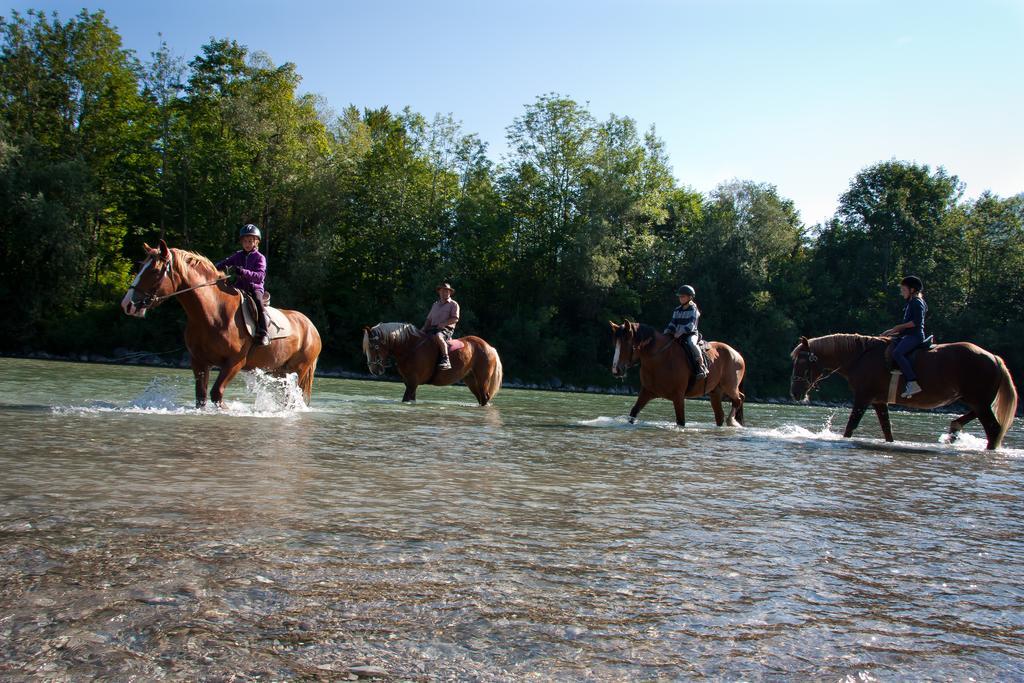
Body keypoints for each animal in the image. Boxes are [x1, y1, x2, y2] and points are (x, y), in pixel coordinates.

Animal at [119, 241, 321, 405]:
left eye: (154, 271)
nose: (127, 304)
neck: (214, 313)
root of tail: (311, 327)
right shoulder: (199, 361)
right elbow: (201, 396)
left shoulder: (233, 363)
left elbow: (216, 394)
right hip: (279, 371)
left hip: (297, 370)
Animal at [364, 321, 503, 405]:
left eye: (373, 346)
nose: (373, 369)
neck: (411, 347)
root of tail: (489, 347)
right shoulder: (409, 383)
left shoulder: (412, 383)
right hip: (471, 381)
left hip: (482, 381)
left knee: (484, 398)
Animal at [606, 321, 745, 428]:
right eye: (614, 343)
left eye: (626, 343)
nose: (616, 370)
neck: (661, 358)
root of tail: (736, 354)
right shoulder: (647, 392)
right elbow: (633, 412)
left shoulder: (678, 396)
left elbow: (681, 421)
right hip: (715, 392)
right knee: (720, 415)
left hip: (730, 387)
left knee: (739, 399)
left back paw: (731, 421)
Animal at [790, 335, 1015, 450]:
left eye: (801, 363)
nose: (794, 393)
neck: (860, 357)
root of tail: (994, 358)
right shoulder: (878, 401)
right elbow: (887, 430)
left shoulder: (863, 398)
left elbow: (850, 427)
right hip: (977, 400)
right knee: (978, 419)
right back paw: (954, 429)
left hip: (979, 401)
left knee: (994, 428)